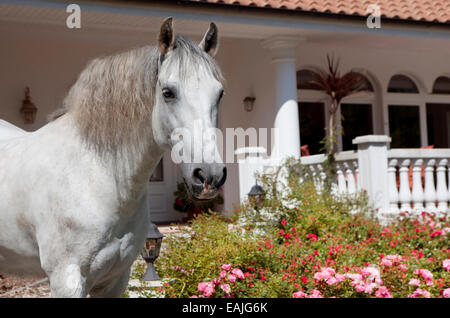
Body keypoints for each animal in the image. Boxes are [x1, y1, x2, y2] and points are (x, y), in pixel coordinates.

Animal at [0, 18, 225, 296]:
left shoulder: (115, 279)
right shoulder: (66, 279)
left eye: (220, 93)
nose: (209, 176)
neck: (95, 175)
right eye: (168, 92)